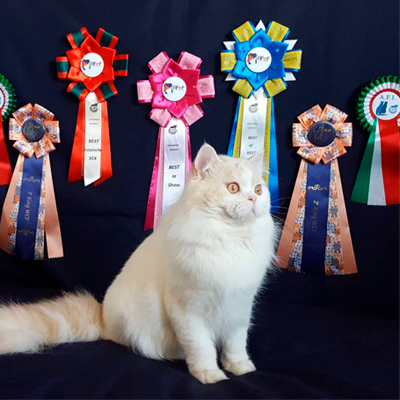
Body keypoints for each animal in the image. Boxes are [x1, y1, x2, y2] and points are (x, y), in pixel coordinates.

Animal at [0, 144, 276, 384]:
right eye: (233, 188)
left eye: (258, 190)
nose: (253, 199)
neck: (229, 240)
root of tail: (103, 317)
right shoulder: (188, 309)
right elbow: (201, 347)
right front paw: (210, 375)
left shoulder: (239, 307)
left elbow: (235, 345)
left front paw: (241, 368)